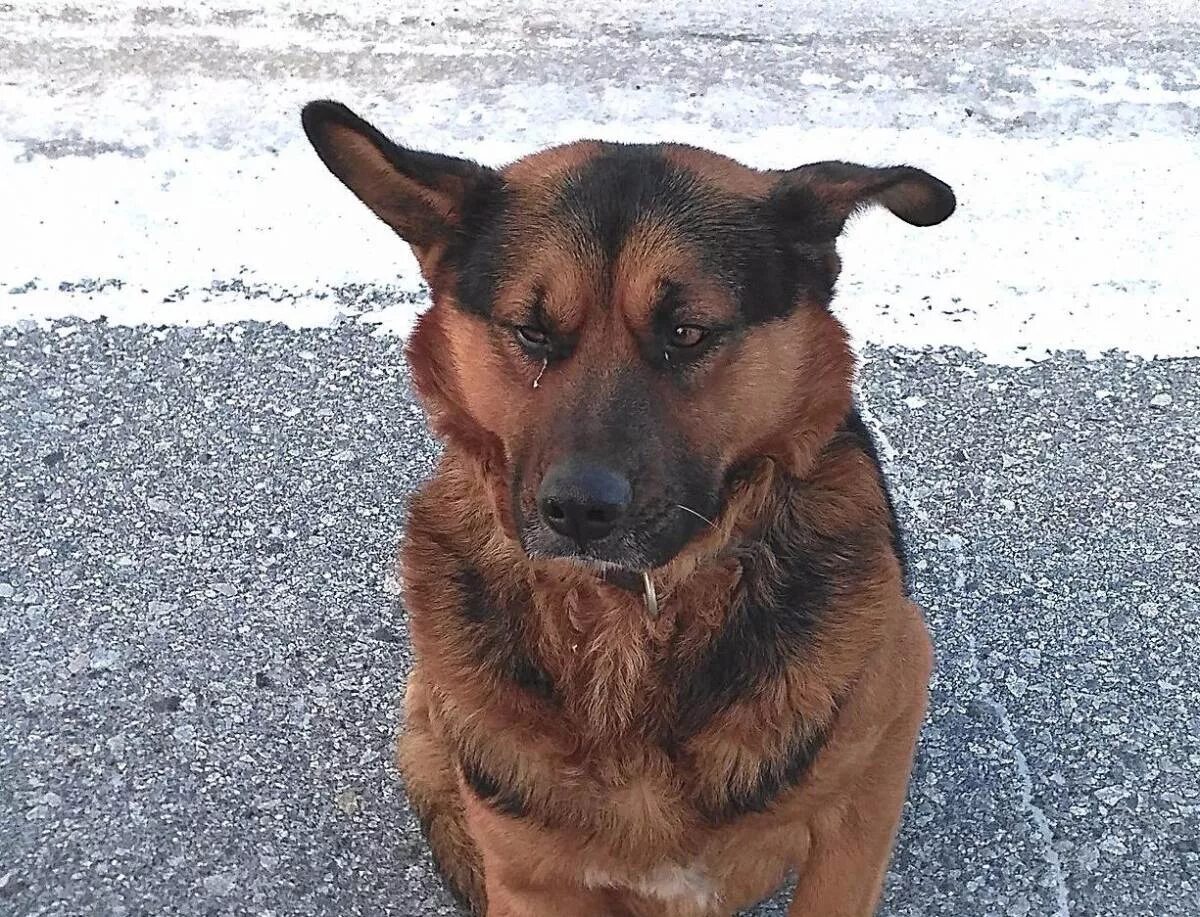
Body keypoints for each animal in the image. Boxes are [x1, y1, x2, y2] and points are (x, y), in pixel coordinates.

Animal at [302, 100, 955, 917]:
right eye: (532, 330)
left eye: (687, 332)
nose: (580, 511)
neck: (629, 620)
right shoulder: (529, 877)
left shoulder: (868, 785)